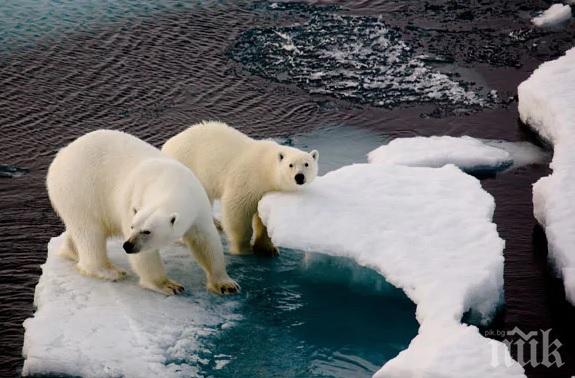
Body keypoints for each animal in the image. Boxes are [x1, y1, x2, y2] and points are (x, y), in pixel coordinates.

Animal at [46, 130, 240, 296]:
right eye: (133, 227)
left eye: (147, 231)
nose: (127, 246)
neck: (171, 182)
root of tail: (60, 156)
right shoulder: (133, 199)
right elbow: (146, 257)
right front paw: (168, 285)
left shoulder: (198, 204)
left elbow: (205, 241)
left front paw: (226, 284)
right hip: (81, 188)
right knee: (90, 232)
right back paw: (110, 271)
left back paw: (71, 251)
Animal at [161, 121, 320, 256]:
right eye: (290, 165)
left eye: (306, 164)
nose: (299, 177)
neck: (265, 167)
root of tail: (166, 145)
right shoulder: (247, 180)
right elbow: (237, 211)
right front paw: (242, 248)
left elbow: (262, 217)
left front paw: (267, 248)